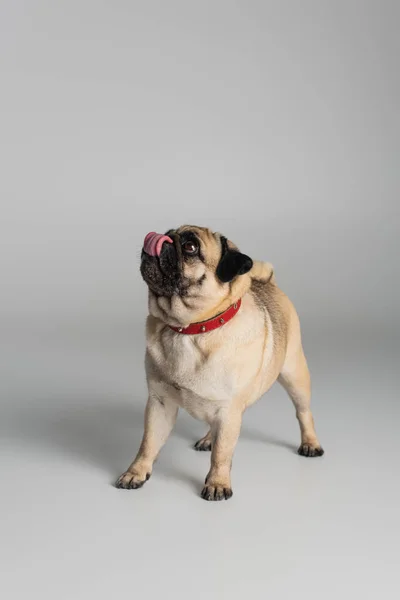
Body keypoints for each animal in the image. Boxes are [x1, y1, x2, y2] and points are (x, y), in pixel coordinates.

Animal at [115, 227, 322, 500]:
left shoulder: (228, 409)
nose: (163, 239)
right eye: (169, 232)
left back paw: (310, 443)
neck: (189, 329)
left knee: (303, 412)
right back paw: (207, 439)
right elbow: (148, 443)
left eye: (191, 247)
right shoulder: (159, 402)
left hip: (294, 374)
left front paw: (217, 483)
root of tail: (268, 282)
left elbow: (222, 454)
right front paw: (136, 472)